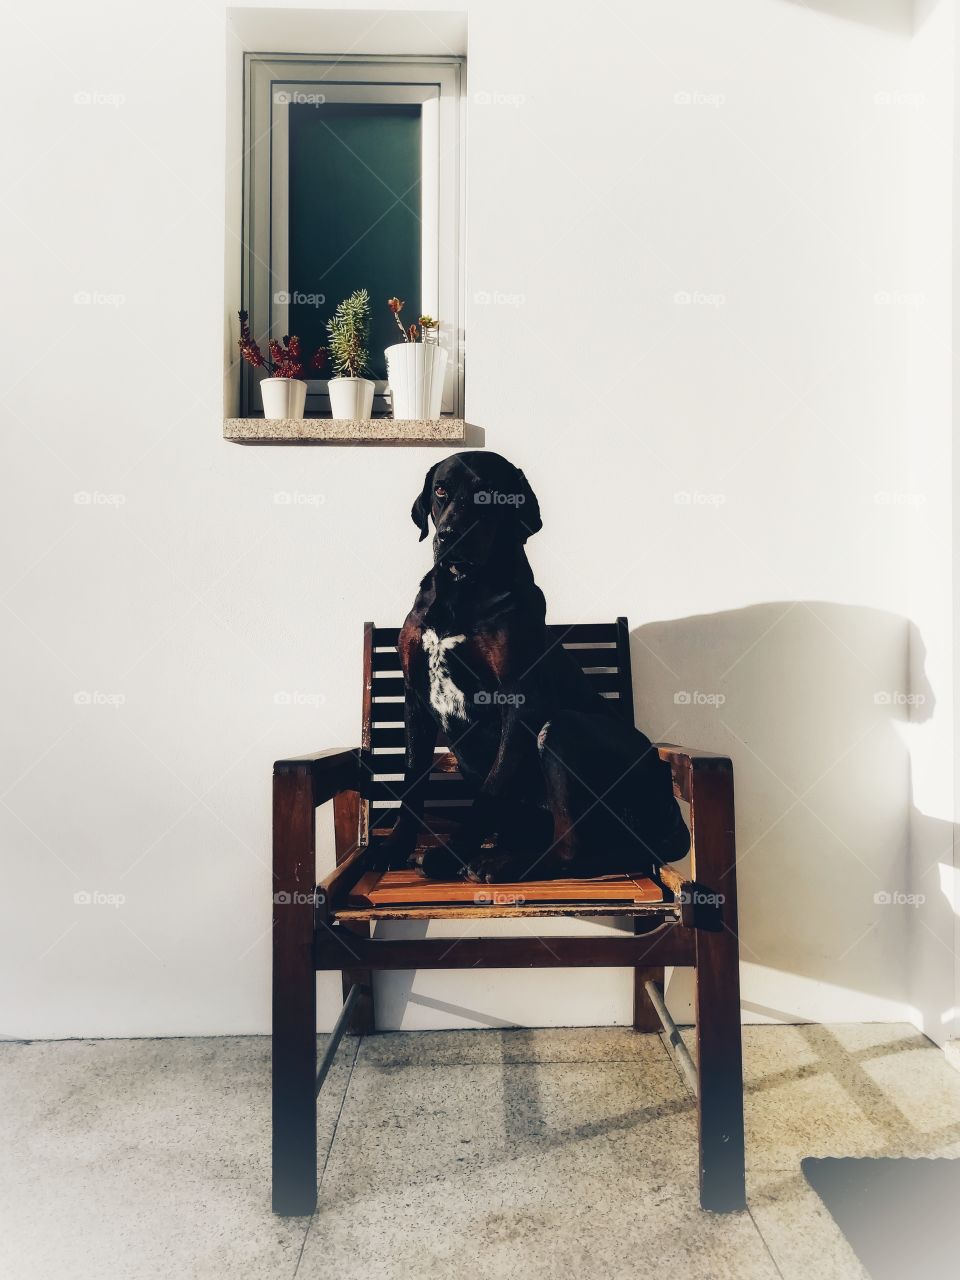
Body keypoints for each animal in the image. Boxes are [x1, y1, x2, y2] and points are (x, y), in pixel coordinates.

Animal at [376, 455, 691, 885]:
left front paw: (451, 855)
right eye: (441, 490)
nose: (450, 535)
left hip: (563, 729)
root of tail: (669, 812)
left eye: (489, 493)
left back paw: (503, 863)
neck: (462, 591)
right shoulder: (415, 696)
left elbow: (492, 787)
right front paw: (394, 848)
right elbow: (411, 783)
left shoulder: (519, 697)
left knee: (572, 847)